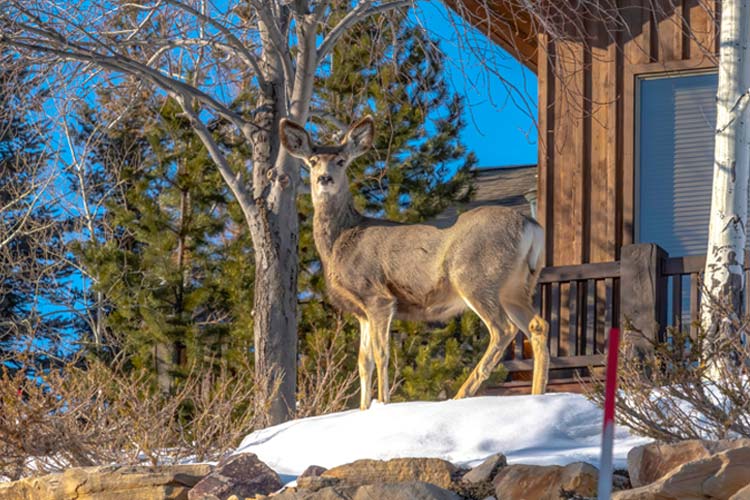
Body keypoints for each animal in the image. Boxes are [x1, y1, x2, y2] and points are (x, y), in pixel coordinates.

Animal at [280, 116, 550, 410]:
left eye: (341, 161)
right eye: (313, 160)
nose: (324, 178)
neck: (341, 240)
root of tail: (531, 226)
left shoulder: (377, 296)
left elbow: (381, 353)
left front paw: (383, 402)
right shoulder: (361, 311)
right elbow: (363, 361)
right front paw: (363, 409)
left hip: (475, 276)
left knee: (503, 329)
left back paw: (461, 395)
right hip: (516, 285)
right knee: (538, 326)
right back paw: (537, 393)